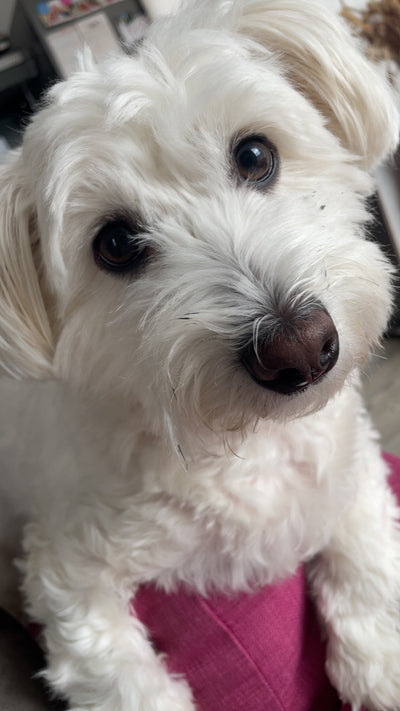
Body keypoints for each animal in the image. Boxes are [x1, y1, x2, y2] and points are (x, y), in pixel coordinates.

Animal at [0, 0, 400, 708]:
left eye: (255, 154)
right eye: (114, 244)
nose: (301, 348)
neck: (249, 442)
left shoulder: (348, 458)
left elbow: (367, 545)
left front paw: (380, 661)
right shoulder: (70, 572)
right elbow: (123, 679)